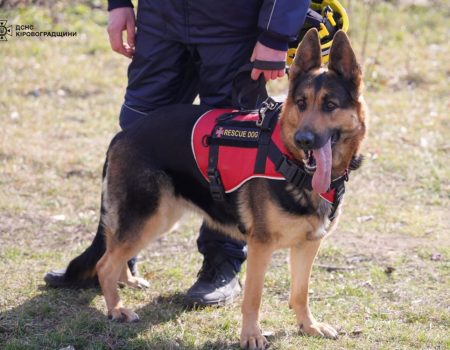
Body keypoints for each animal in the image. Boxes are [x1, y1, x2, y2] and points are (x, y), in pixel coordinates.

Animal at [67, 28, 364, 348]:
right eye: (301, 103)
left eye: (330, 105)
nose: (304, 140)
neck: (291, 161)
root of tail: (123, 135)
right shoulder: (261, 245)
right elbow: (253, 298)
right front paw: (251, 336)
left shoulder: (308, 244)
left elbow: (301, 292)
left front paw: (308, 326)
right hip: (149, 217)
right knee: (104, 264)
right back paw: (116, 309)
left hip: (157, 218)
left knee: (114, 250)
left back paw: (127, 281)